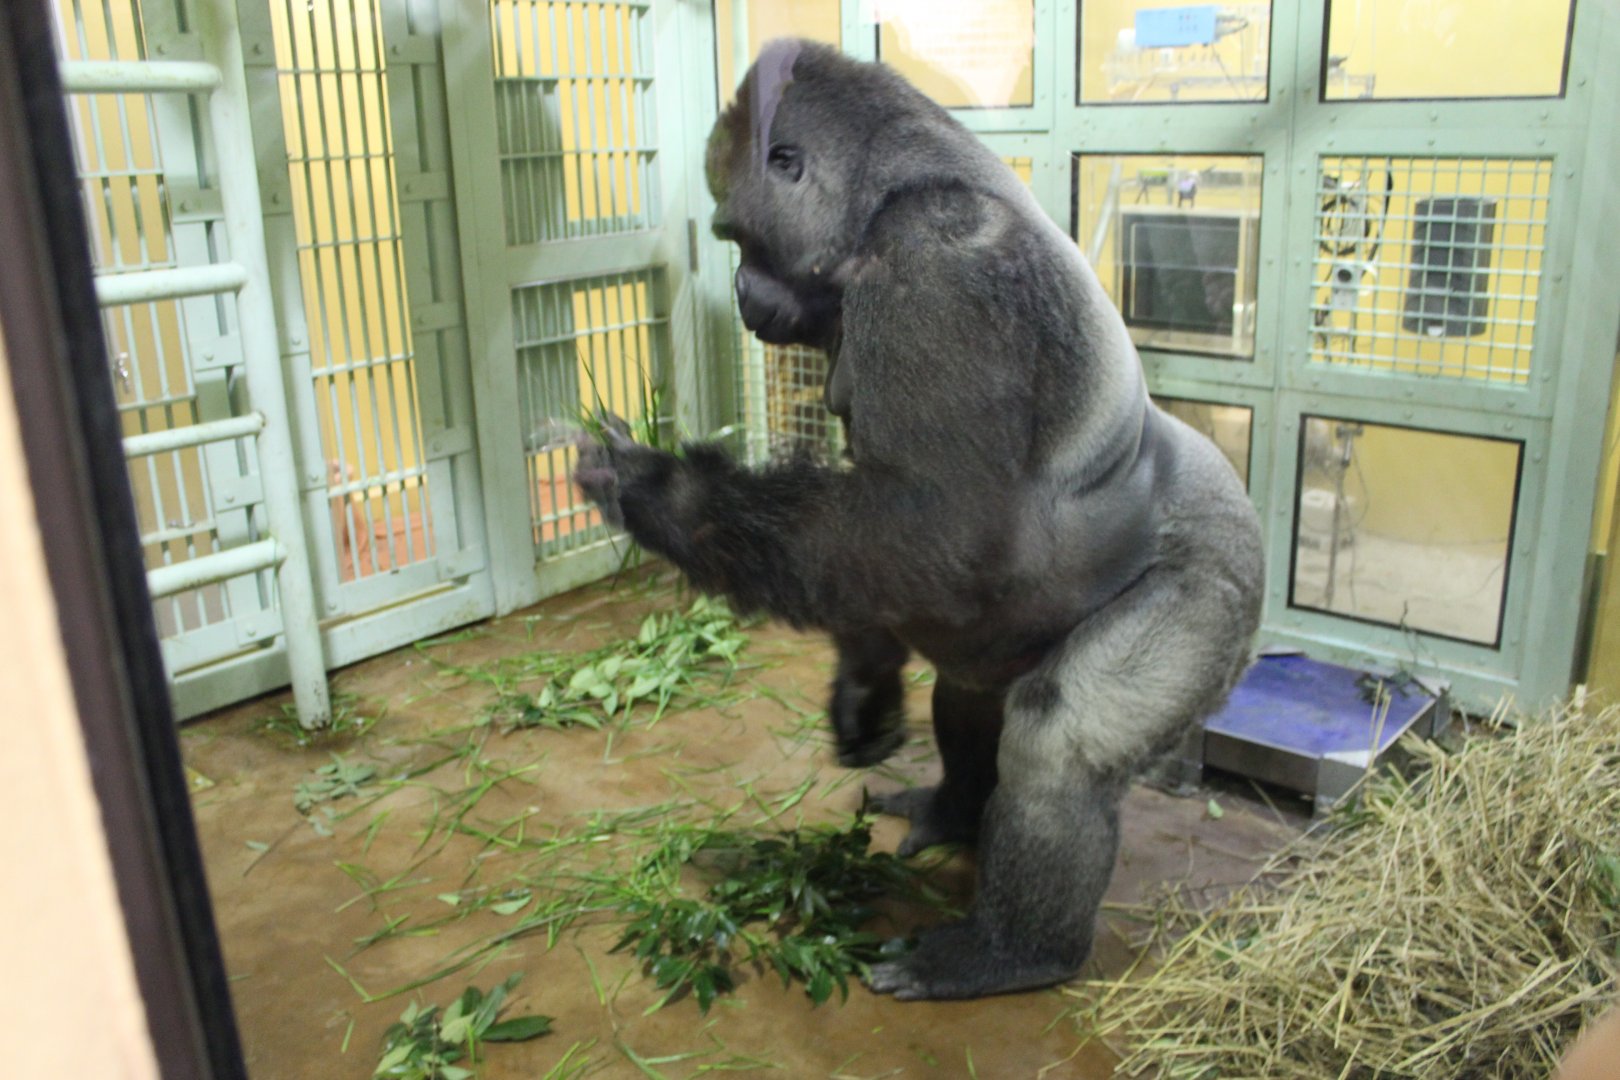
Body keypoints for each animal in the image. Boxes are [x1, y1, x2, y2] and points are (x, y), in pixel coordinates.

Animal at [573, 39, 1264, 1000]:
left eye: (738, 237)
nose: (743, 292)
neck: (889, 192)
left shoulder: (937, 265)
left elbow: (932, 528)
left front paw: (663, 494)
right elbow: (878, 549)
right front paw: (864, 688)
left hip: (1220, 592)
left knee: (1059, 737)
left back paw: (1012, 953)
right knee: (971, 693)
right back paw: (954, 813)